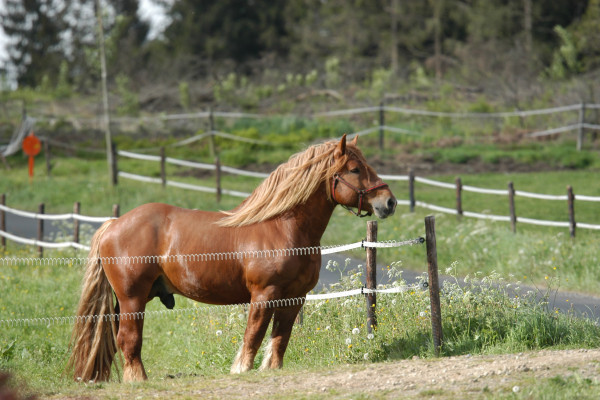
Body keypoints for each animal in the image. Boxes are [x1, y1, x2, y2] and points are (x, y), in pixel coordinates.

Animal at [68, 134, 396, 382]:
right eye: (354, 169)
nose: (389, 202)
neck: (282, 227)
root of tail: (114, 224)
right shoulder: (264, 294)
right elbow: (254, 335)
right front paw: (241, 370)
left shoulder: (294, 298)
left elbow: (280, 339)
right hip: (133, 298)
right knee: (128, 339)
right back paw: (138, 380)